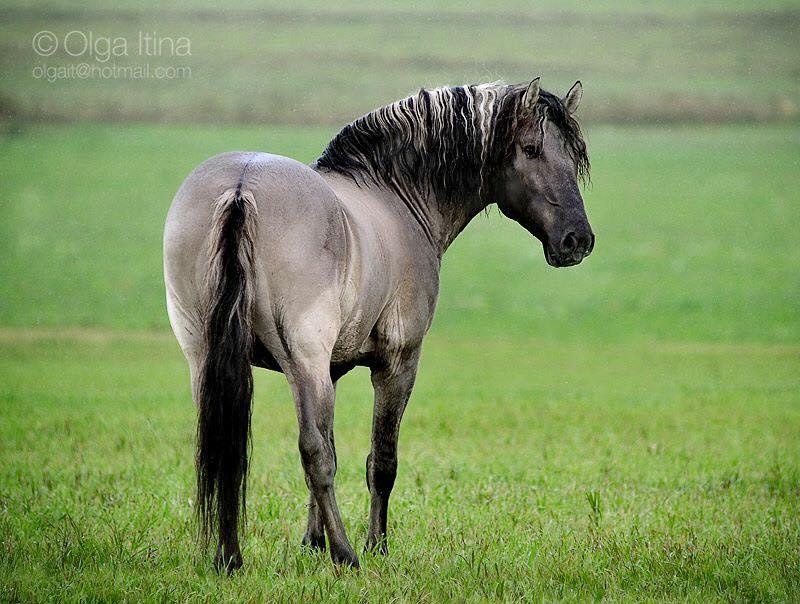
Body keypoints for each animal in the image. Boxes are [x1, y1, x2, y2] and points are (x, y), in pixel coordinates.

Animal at [164, 76, 592, 572]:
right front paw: (375, 545)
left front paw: (313, 542)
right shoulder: (396, 364)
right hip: (304, 361)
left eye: (574, 154)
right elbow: (379, 461)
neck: (394, 196)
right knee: (312, 453)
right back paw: (347, 554)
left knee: (224, 448)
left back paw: (230, 557)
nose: (577, 240)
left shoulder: (328, 372)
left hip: (208, 359)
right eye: (531, 149)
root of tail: (240, 187)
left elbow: (331, 449)